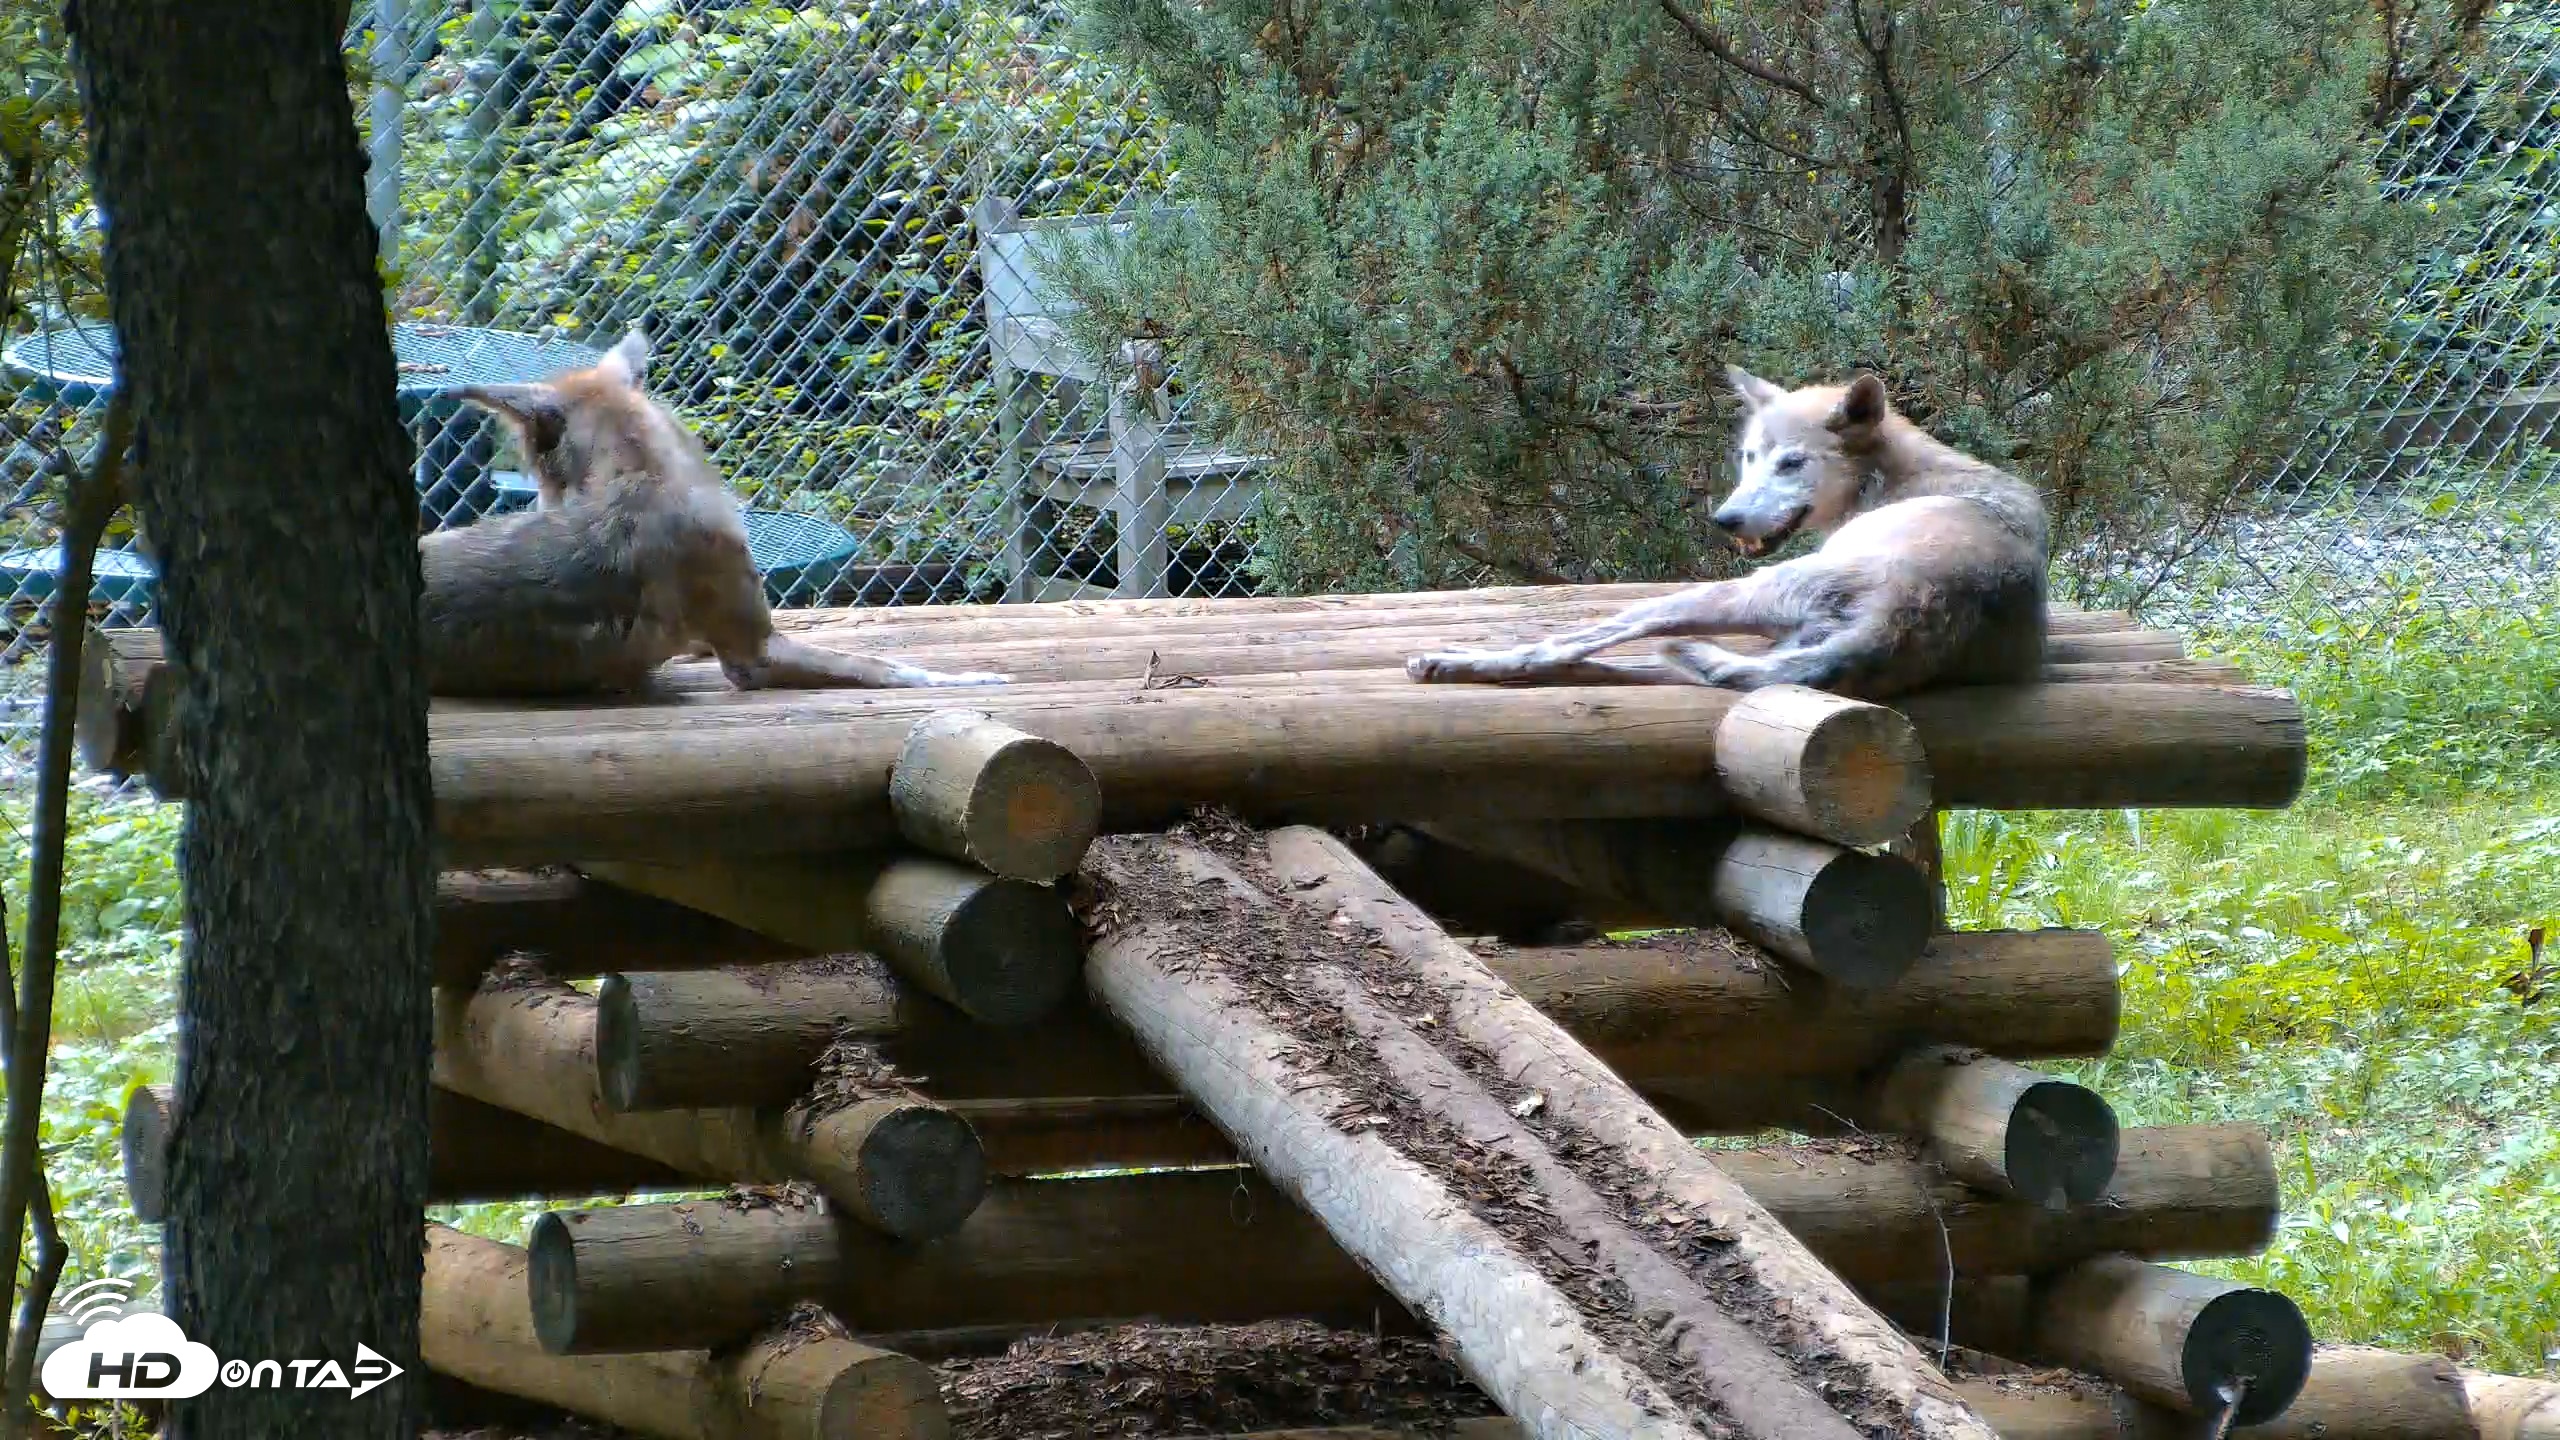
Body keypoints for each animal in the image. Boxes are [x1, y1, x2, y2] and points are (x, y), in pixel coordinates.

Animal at [1404, 366, 2049, 702]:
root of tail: (1920, 609)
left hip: (1724, 593)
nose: (1725, 521)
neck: (1891, 480)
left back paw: (1452, 661)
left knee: (1566, 646)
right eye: (1749, 457)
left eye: (1791, 464)